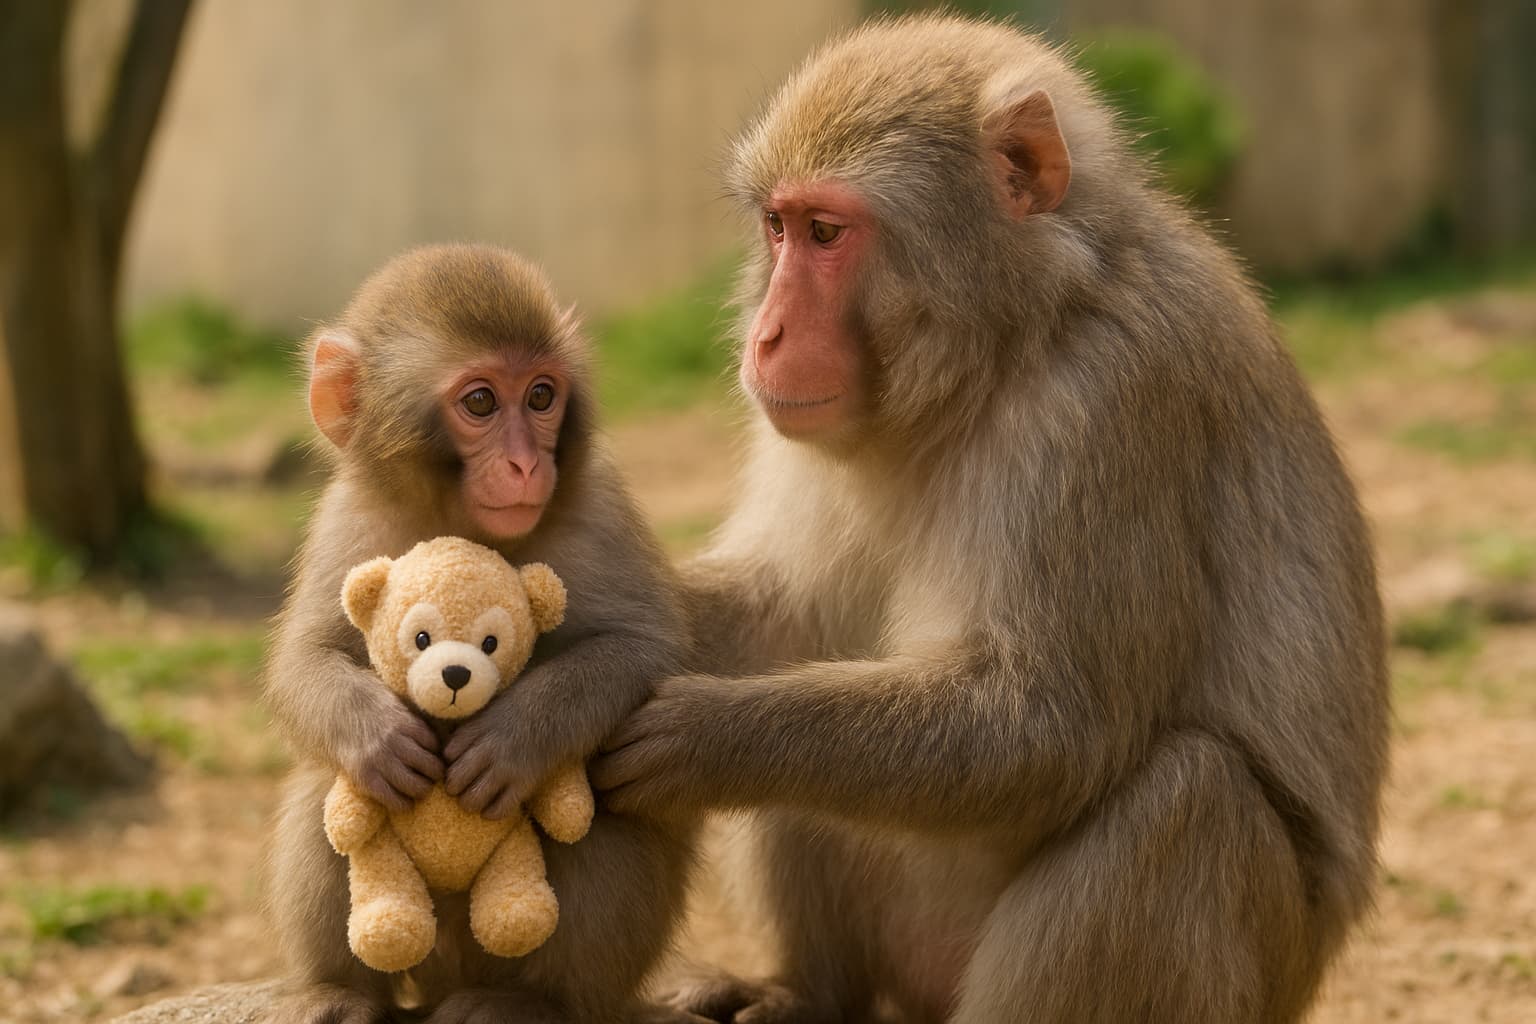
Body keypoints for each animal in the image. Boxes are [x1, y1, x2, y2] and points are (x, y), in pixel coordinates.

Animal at [264, 244, 698, 1024]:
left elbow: (647, 649)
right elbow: (304, 659)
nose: (527, 463)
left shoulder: (598, 508)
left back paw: (531, 1001)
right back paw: (341, 991)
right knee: (327, 790)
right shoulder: (349, 520)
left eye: (542, 396)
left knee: (599, 820)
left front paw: (515, 737)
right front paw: (376, 733)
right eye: (480, 403)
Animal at [590, 15, 1388, 1024]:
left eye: (826, 232)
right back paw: (804, 992)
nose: (763, 336)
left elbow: (1052, 727)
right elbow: (785, 610)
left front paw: (707, 739)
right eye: (776, 225)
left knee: (1186, 799)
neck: (1013, 337)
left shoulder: (1106, 402)